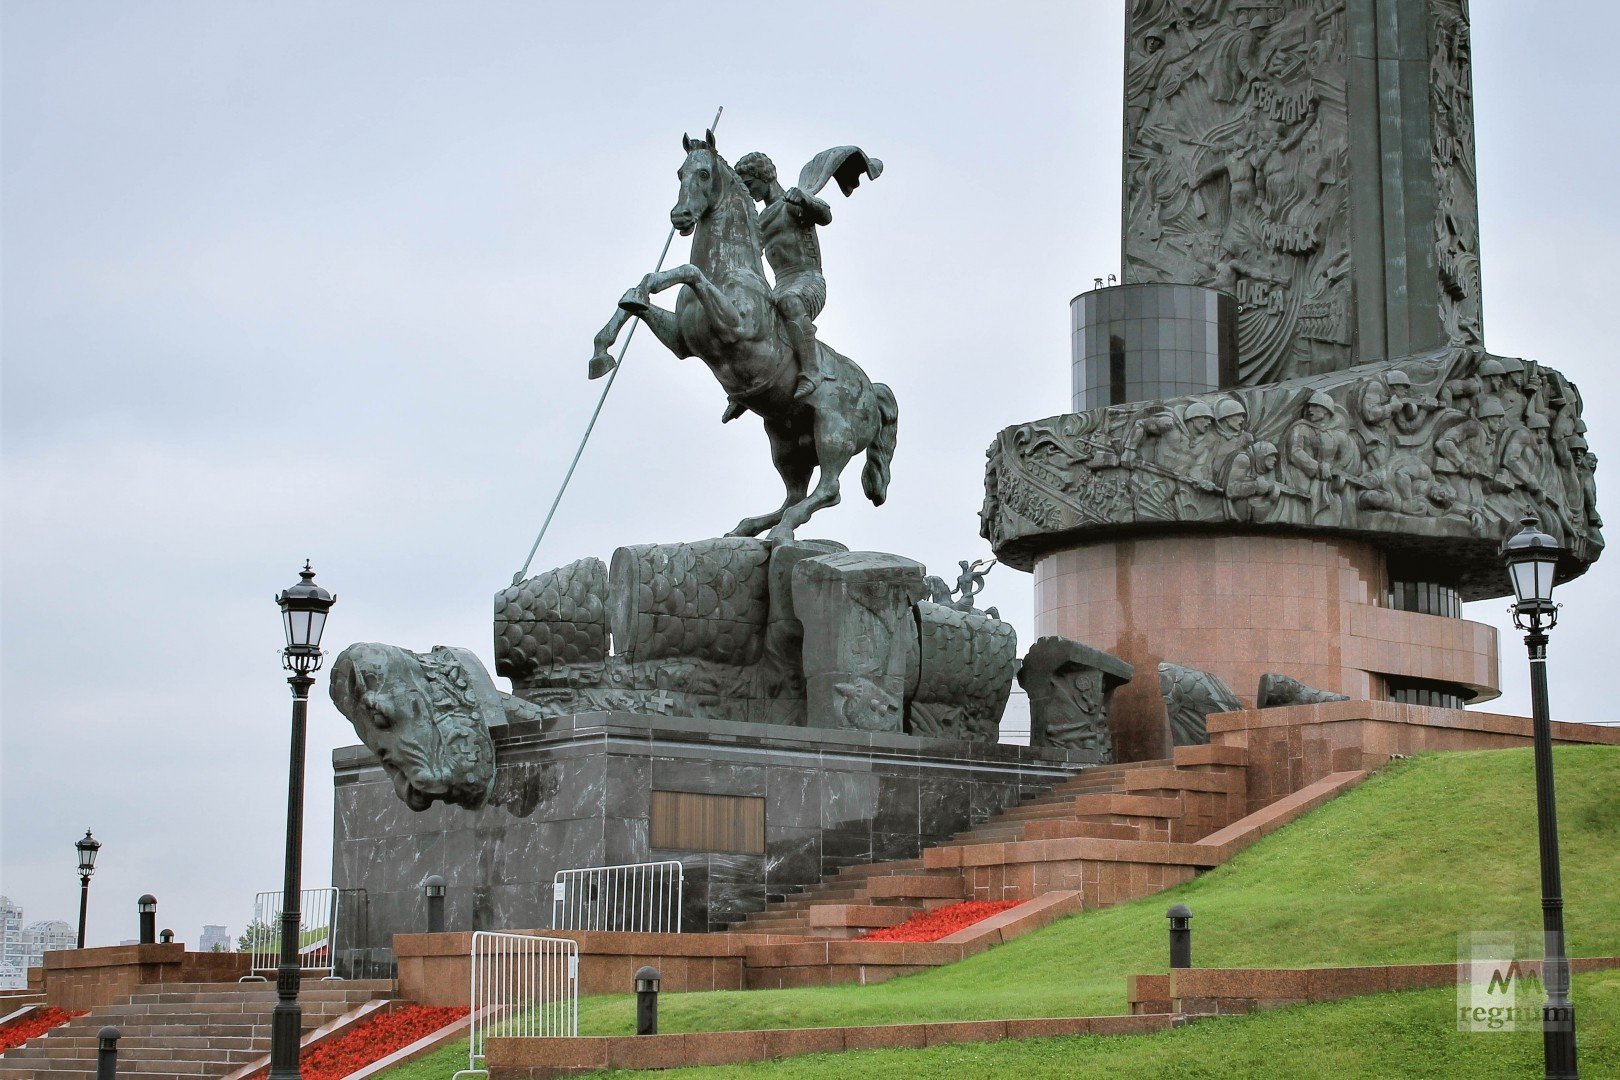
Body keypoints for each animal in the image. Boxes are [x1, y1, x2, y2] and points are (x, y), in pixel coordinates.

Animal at [592, 131, 900, 544]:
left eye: (704, 173)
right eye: (679, 172)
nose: (680, 217)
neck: (730, 269)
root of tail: (871, 388)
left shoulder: (735, 328)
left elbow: (687, 270)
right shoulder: (681, 343)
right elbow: (644, 294)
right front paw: (603, 349)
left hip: (833, 432)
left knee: (828, 490)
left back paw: (782, 531)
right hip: (786, 440)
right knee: (794, 494)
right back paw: (748, 527)